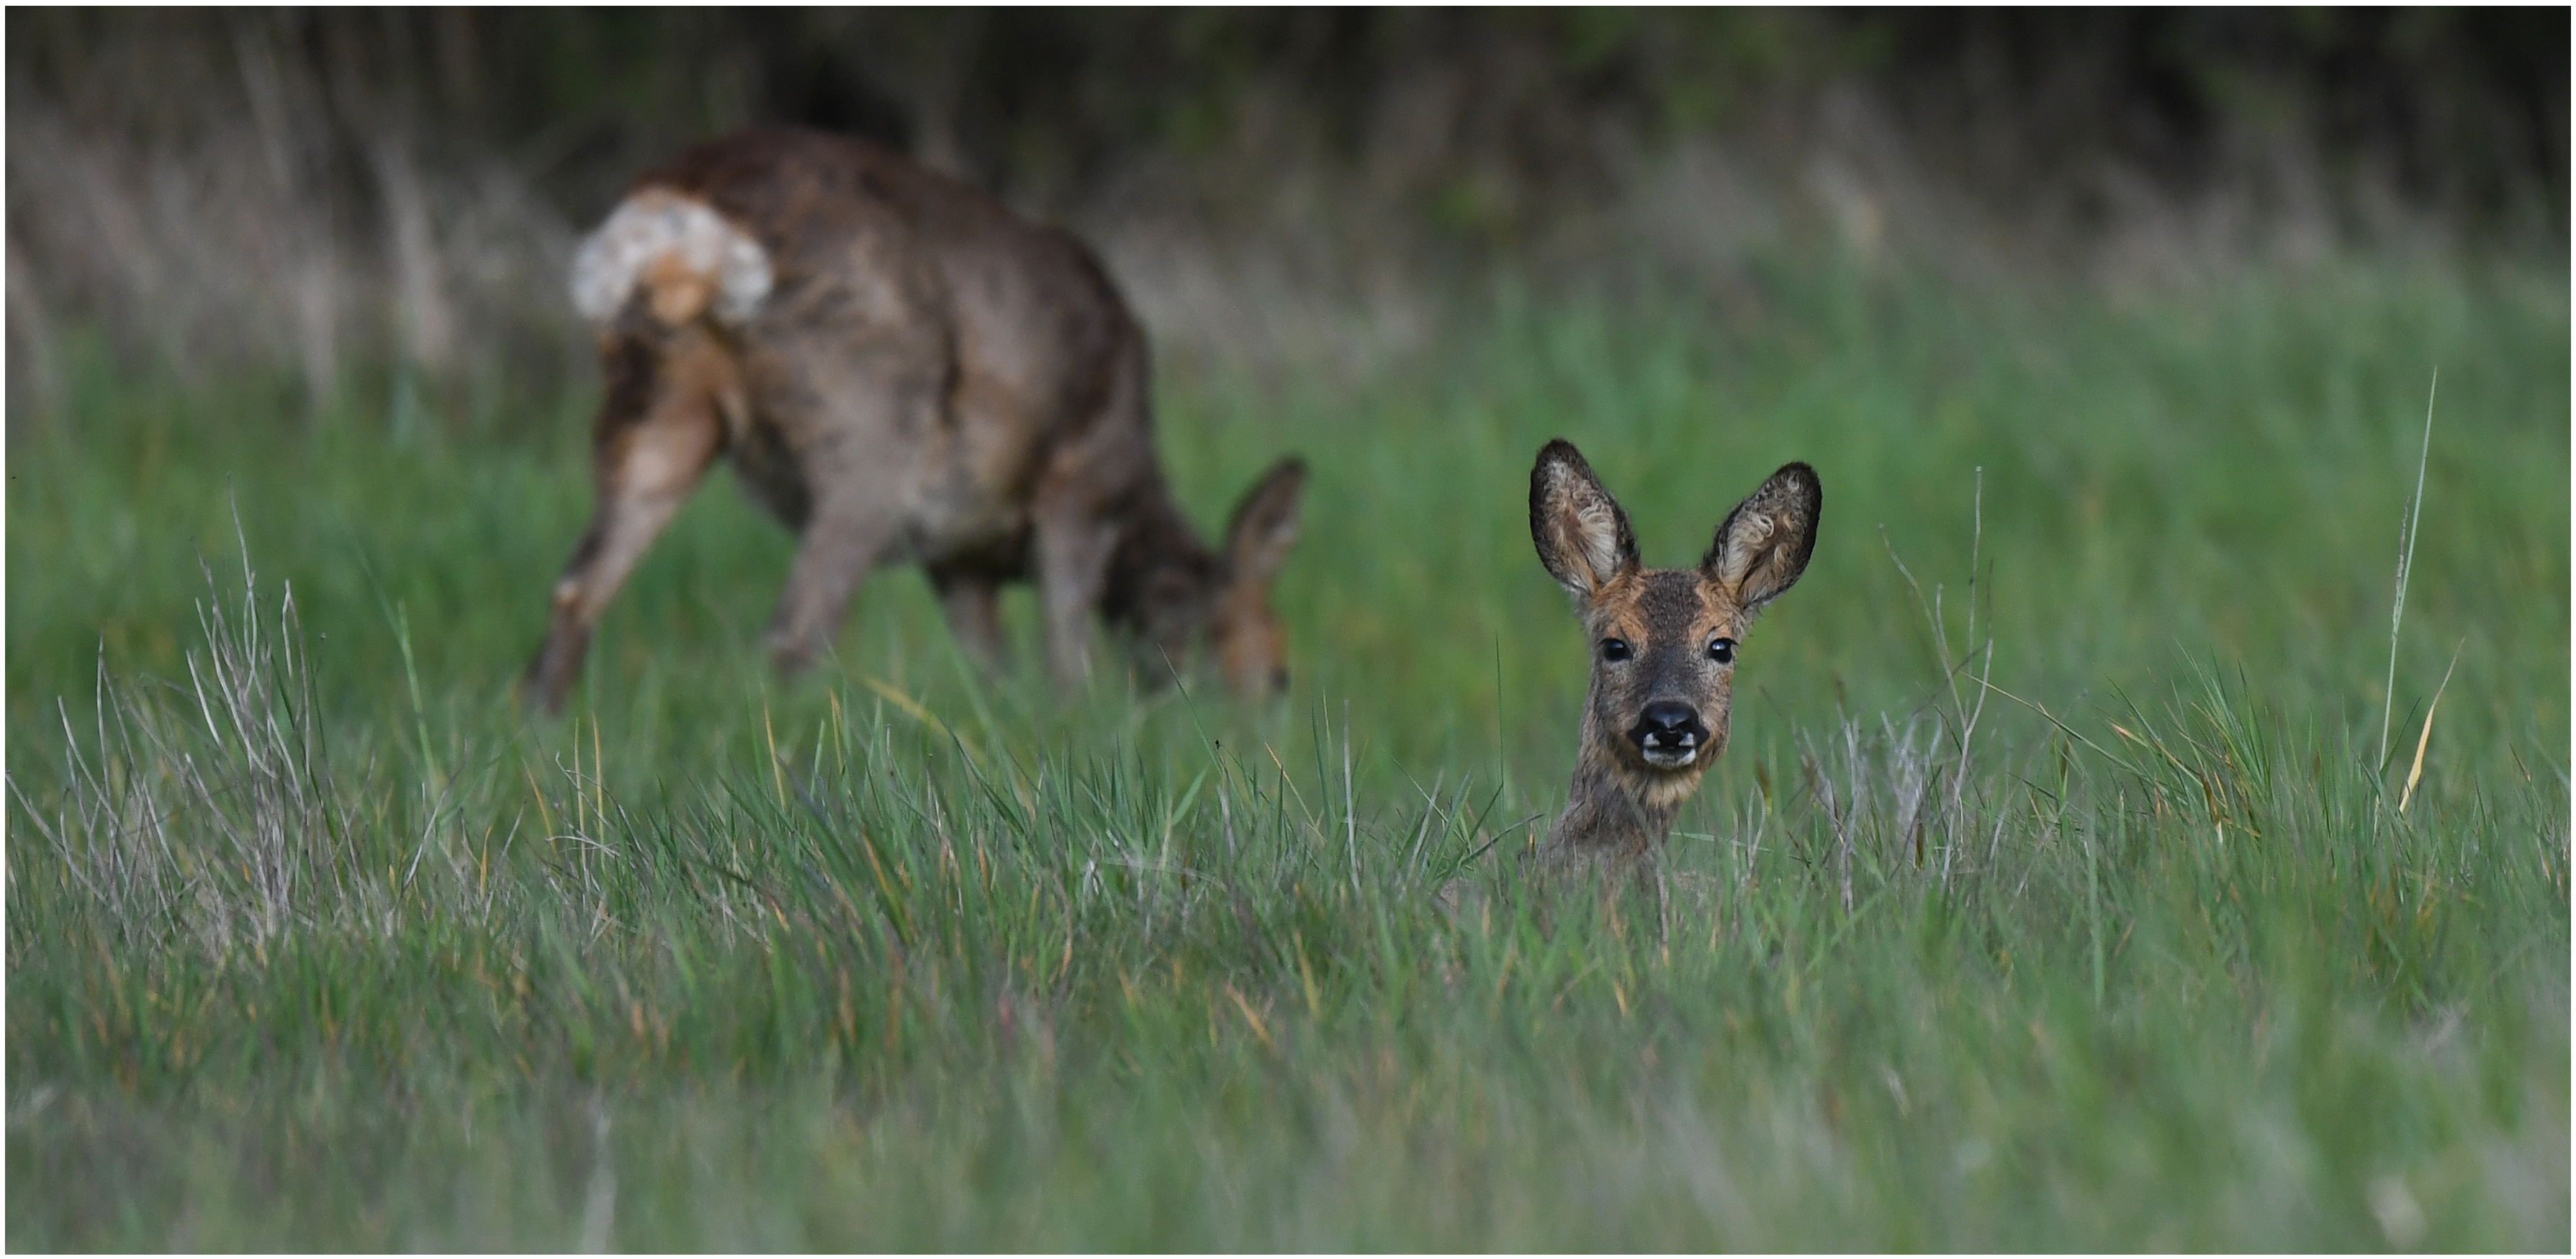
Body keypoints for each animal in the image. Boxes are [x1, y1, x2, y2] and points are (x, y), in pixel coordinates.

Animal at [522, 127, 1308, 714]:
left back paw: (542, 737)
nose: (1260, 725)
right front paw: (1081, 727)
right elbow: (1065, 655)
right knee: (794, 631)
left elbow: (994, 670)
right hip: (867, 424)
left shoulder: (955, 551)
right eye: (1278, 673)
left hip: (655, 401)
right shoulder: (1079, 490)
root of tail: (681, 216)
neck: (1139, 494)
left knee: (574, 594)